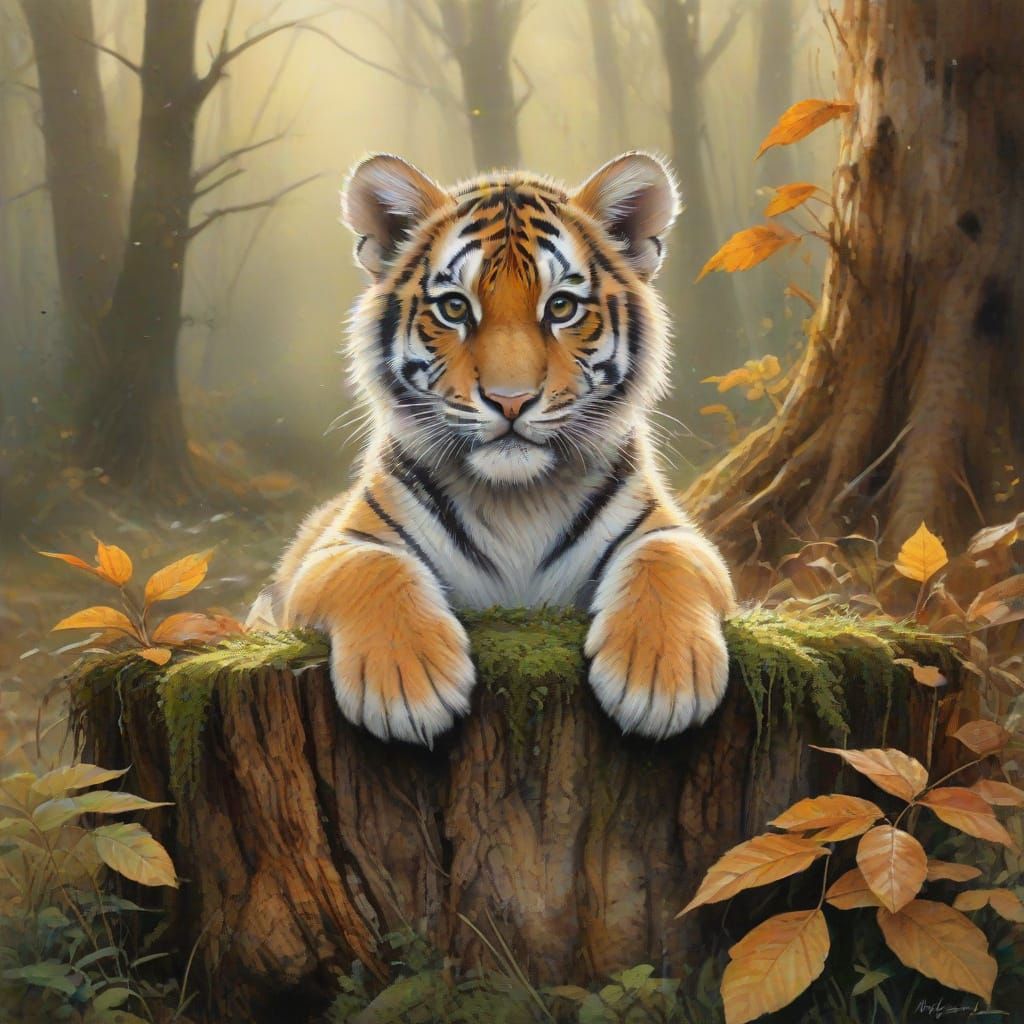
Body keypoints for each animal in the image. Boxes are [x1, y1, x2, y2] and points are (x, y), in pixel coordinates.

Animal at [248, 151, 736, 745]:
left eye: (562, 307)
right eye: (456, 308)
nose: (511, 400)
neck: (516, 500)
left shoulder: (674, 532)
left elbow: (667, 557)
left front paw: (662, 677)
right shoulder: (336, 549)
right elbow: (373, 567)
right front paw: (408, 684)